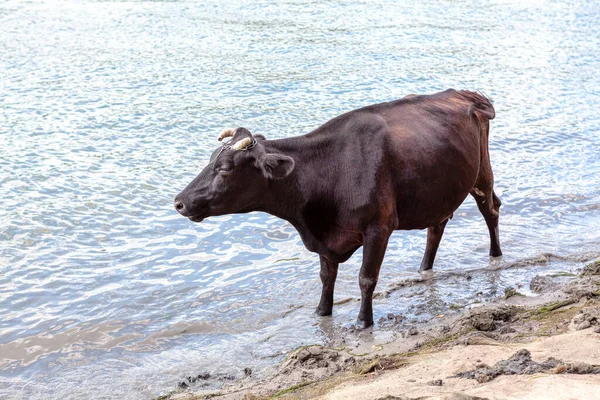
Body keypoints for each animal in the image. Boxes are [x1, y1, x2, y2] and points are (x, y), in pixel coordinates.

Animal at [172, 90, 502, 328]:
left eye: (225, 168)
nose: (179, 202)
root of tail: (464, 93)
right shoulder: (324, 237)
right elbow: (326, 277)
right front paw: (321, 312)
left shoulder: (379, 227)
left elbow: (366, 278)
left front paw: (363, 322)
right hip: (439, 190)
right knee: (437, 225)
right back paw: (424, 268)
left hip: (481, 174)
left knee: (491, 210)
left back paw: (495, 256)